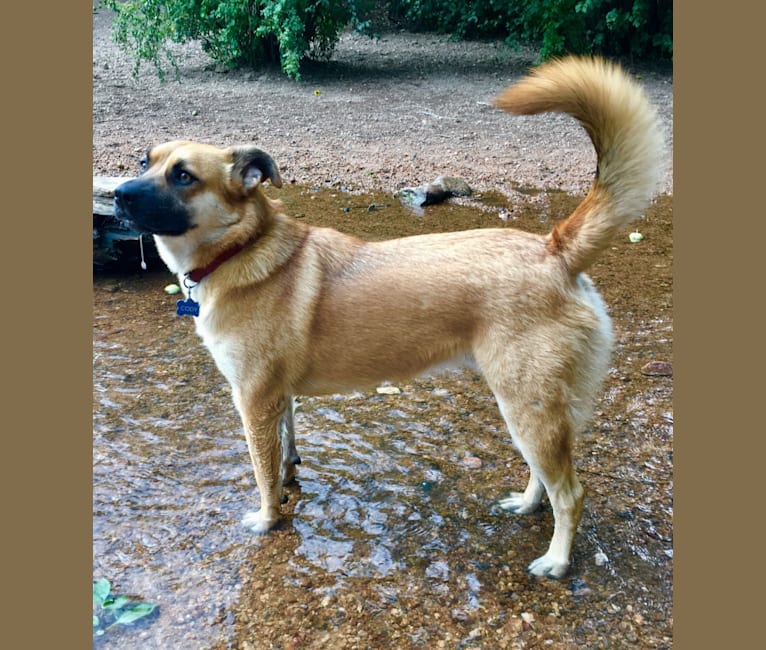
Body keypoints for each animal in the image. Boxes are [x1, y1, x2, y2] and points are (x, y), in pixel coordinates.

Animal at [114, 57, 664, 576]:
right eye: (146, 160)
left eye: (183, 175)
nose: (118, 194)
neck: (241, 247)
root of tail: (556, 250)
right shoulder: (278, 398)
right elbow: (286, 451)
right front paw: (292, 478)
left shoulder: (253, 399)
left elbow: (263, 474)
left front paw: (268, 519)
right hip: (528, 408)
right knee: (545, 478)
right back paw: (527, 505)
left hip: (528, 404)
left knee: (571, 493)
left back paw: (557, 561)